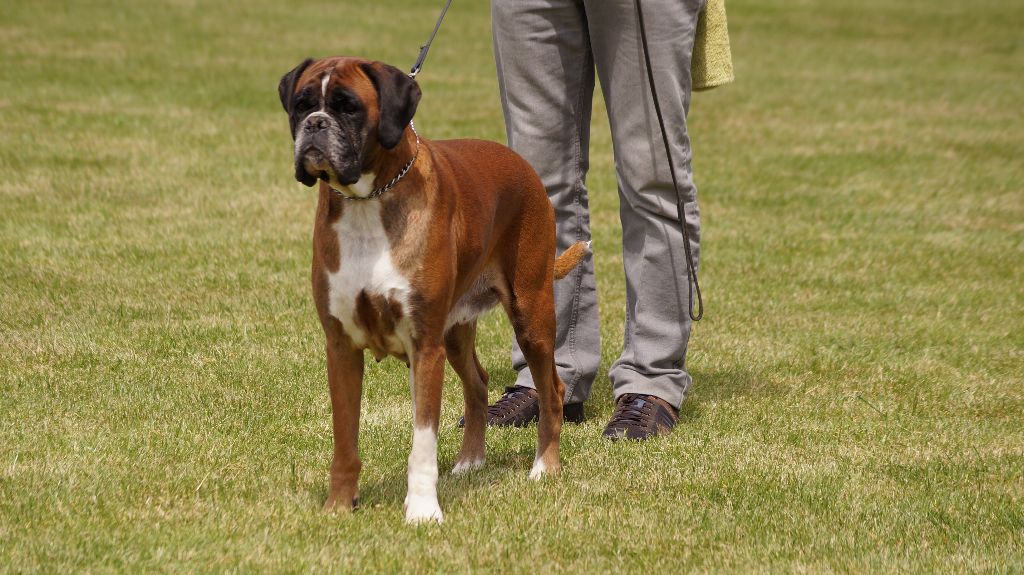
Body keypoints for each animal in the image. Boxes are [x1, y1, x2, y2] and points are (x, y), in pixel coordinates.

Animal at [278, 57, 585, 519]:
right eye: (301, 104)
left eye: (348, 107)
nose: (315, 124)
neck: (368, 202)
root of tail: (522, 164)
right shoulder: (342, 348)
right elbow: (344, 438)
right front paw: (338, 506)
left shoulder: (424, 347)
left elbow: (422, 443)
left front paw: (422, 511)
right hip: (455, 334)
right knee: (477, 384)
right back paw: (470, 461)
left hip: (531, 316)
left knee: (553, 389)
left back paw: (544, 467)